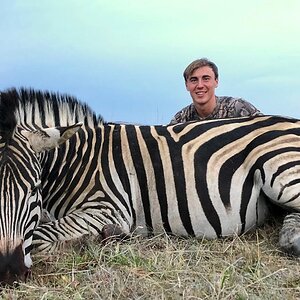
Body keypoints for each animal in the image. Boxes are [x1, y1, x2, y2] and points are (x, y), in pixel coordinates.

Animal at [0, 86, 300, 284]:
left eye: (34, 188)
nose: (8, 269)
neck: (78, 161)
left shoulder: (110, 208)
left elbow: (41, 235)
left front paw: (93, 240)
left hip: (280, 169)